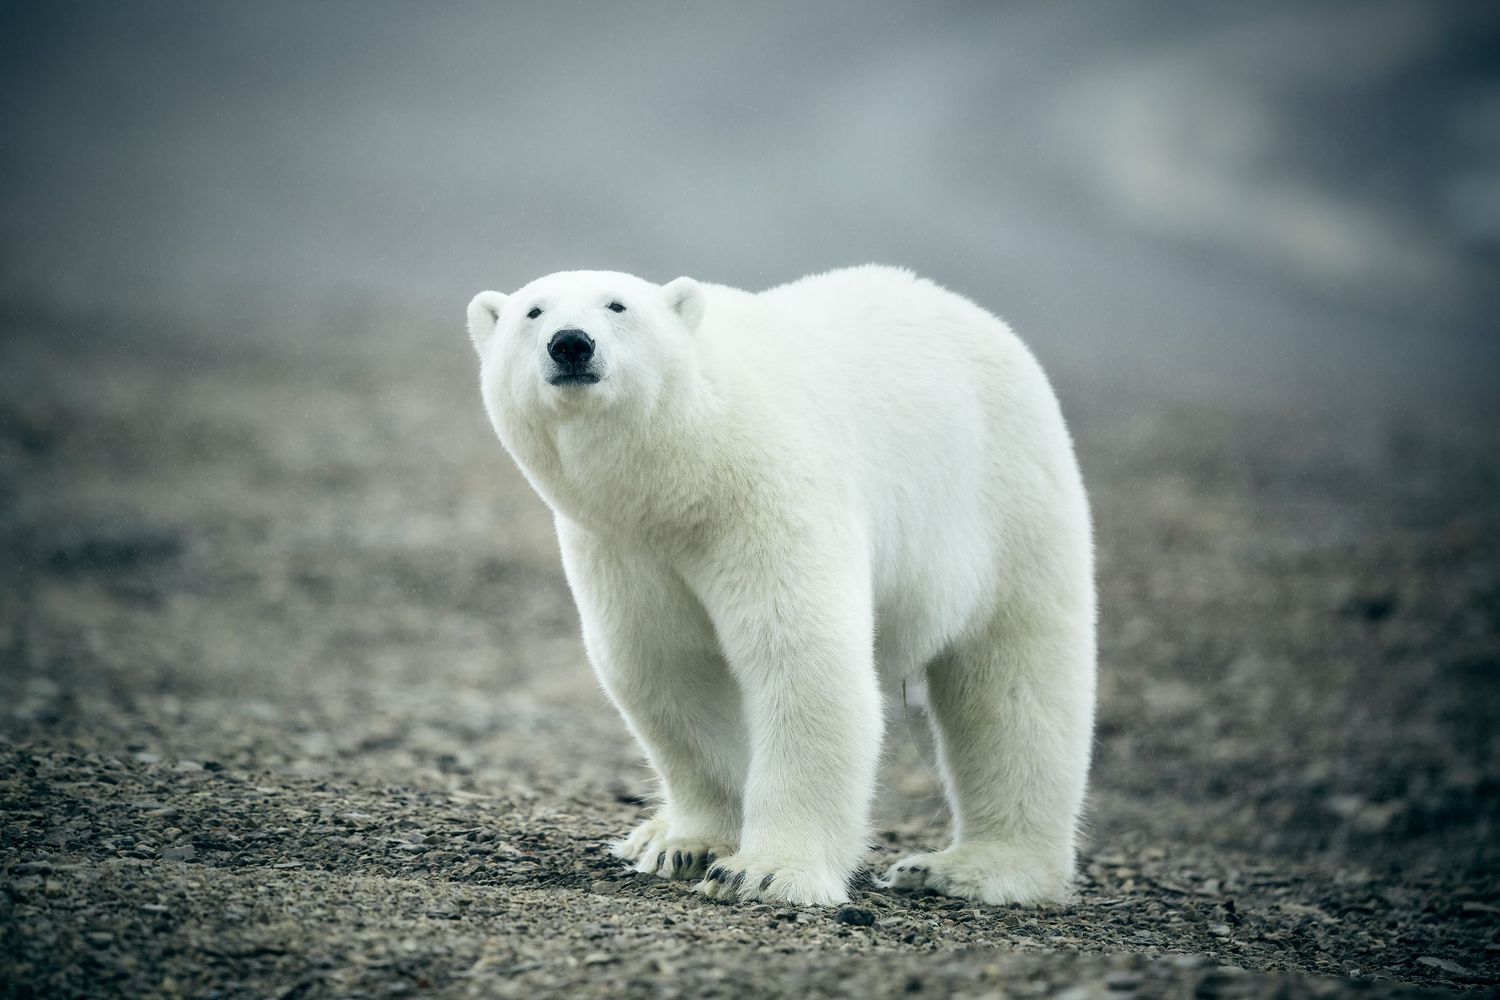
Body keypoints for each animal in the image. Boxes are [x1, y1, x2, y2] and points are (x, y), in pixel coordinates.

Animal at [465, 266, 1095, 906]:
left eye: (617, 306)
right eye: (533, 312)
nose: (571, 343)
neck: (689, 469)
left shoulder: (767, 494)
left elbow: (800, 658)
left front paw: (763, 872)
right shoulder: (623, 544)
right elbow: (666, 668)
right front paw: (689, 846)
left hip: (1007, 496)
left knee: (1015, 683)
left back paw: (972, 867)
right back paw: (651, 833)